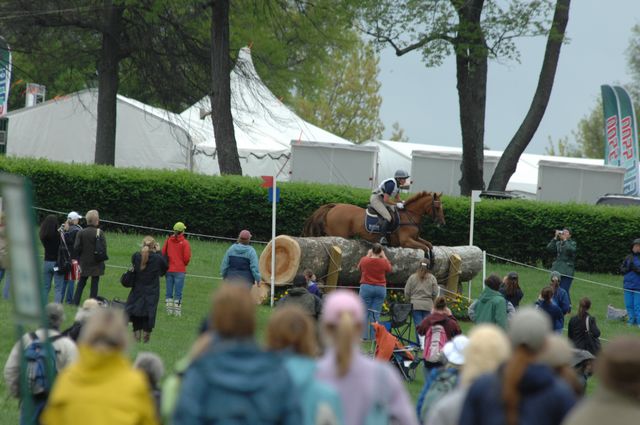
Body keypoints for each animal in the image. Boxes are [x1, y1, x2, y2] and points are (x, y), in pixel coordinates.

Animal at [302, 191, 444, 253]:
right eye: (437, 207)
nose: (443, 223)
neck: (410, 215)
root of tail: (335, 206)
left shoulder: (416, 238)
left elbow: (429, 245)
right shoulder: (406, 241)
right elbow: (425, 248)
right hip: (339, 234)